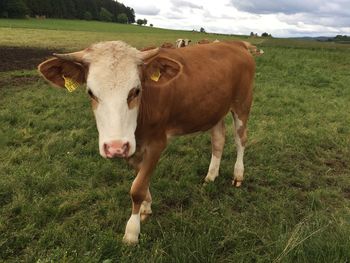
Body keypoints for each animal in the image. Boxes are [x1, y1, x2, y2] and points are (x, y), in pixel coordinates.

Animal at [37, 40, 258, 246]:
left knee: (241, 139)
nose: (114, 147)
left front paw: (132, 232)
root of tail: (234, 43)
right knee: (218, 139)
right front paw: (146, 207)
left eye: (135, 91)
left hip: (242, 104)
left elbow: (137, 189)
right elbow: (140, 180)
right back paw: (211, 175)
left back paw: (238, 175)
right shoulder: (132, 146)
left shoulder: (156, 143)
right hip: (214, 110)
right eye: (90, 92)